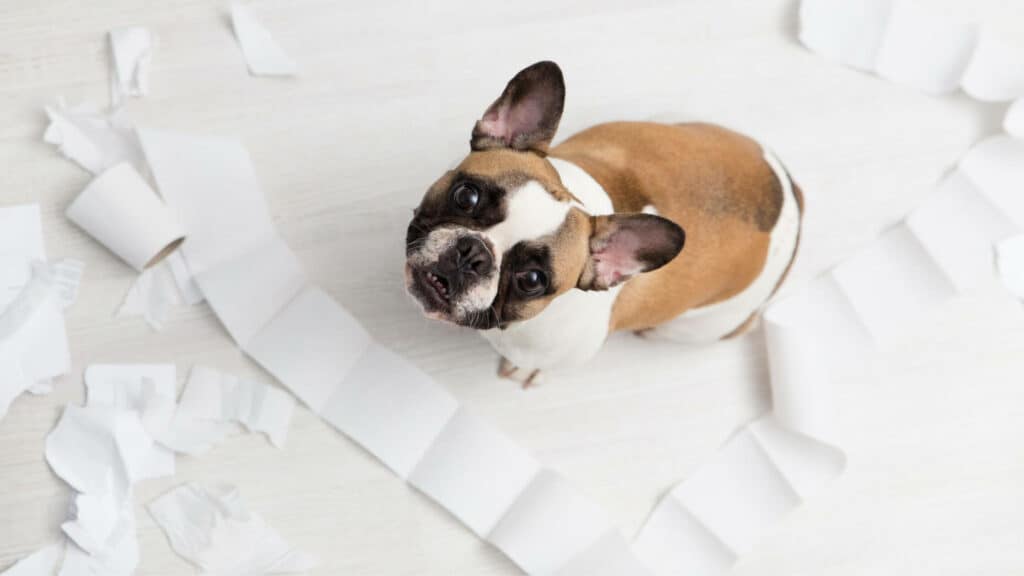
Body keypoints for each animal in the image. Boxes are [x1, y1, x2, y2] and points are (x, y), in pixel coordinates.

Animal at [403, 59, 802, 385]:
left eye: (531, 280)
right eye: (466, 196)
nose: (473, 255)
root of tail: (792, 196)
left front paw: (526, 369)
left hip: (699, 328)